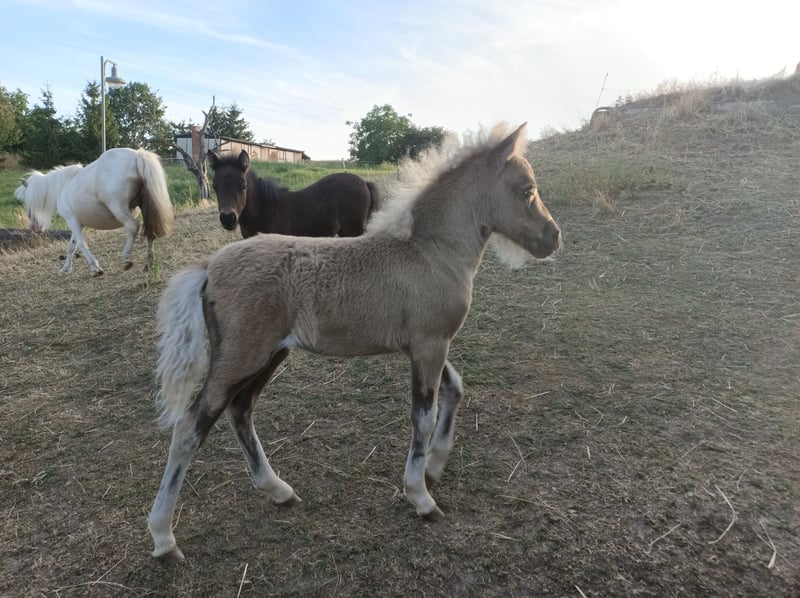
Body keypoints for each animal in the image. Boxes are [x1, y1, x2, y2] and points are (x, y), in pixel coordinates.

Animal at [14, 148, 174, 275]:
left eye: (27, 201)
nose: (33, 227)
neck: (63, 185)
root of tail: (137, 155)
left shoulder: (72, 220)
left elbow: (81, 244)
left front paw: (95, 267)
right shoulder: (80, 223)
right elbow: (71, 246)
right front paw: (66, 268)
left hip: (119, 208)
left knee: (133, 227)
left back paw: (126, 259)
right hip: (146, 208)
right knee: (150, 232)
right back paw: (149, 264)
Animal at [207, 149, 381, 238]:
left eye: (243, 186)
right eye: (215, 187)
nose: (228, 219)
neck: (264, 210)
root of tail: (364, 183)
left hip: (354, 230)